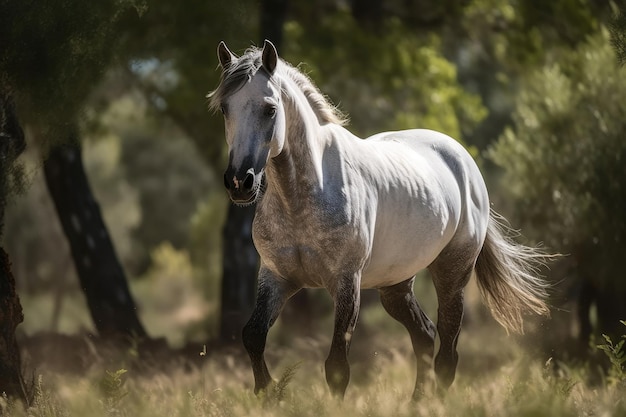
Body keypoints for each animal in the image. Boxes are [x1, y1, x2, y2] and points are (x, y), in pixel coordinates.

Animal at [207, 40, 548, 398]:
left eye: (270, 109)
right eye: (225, 109)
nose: (239, 182)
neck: (301, 197)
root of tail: (464, 162)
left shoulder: (346, 281)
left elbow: (337, 367)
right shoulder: (277, 277)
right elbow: (253, 337)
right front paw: (271, 394)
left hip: (453, 274)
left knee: (447, 353)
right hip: (395, 285)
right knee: (425, 336)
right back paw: (417, 402)